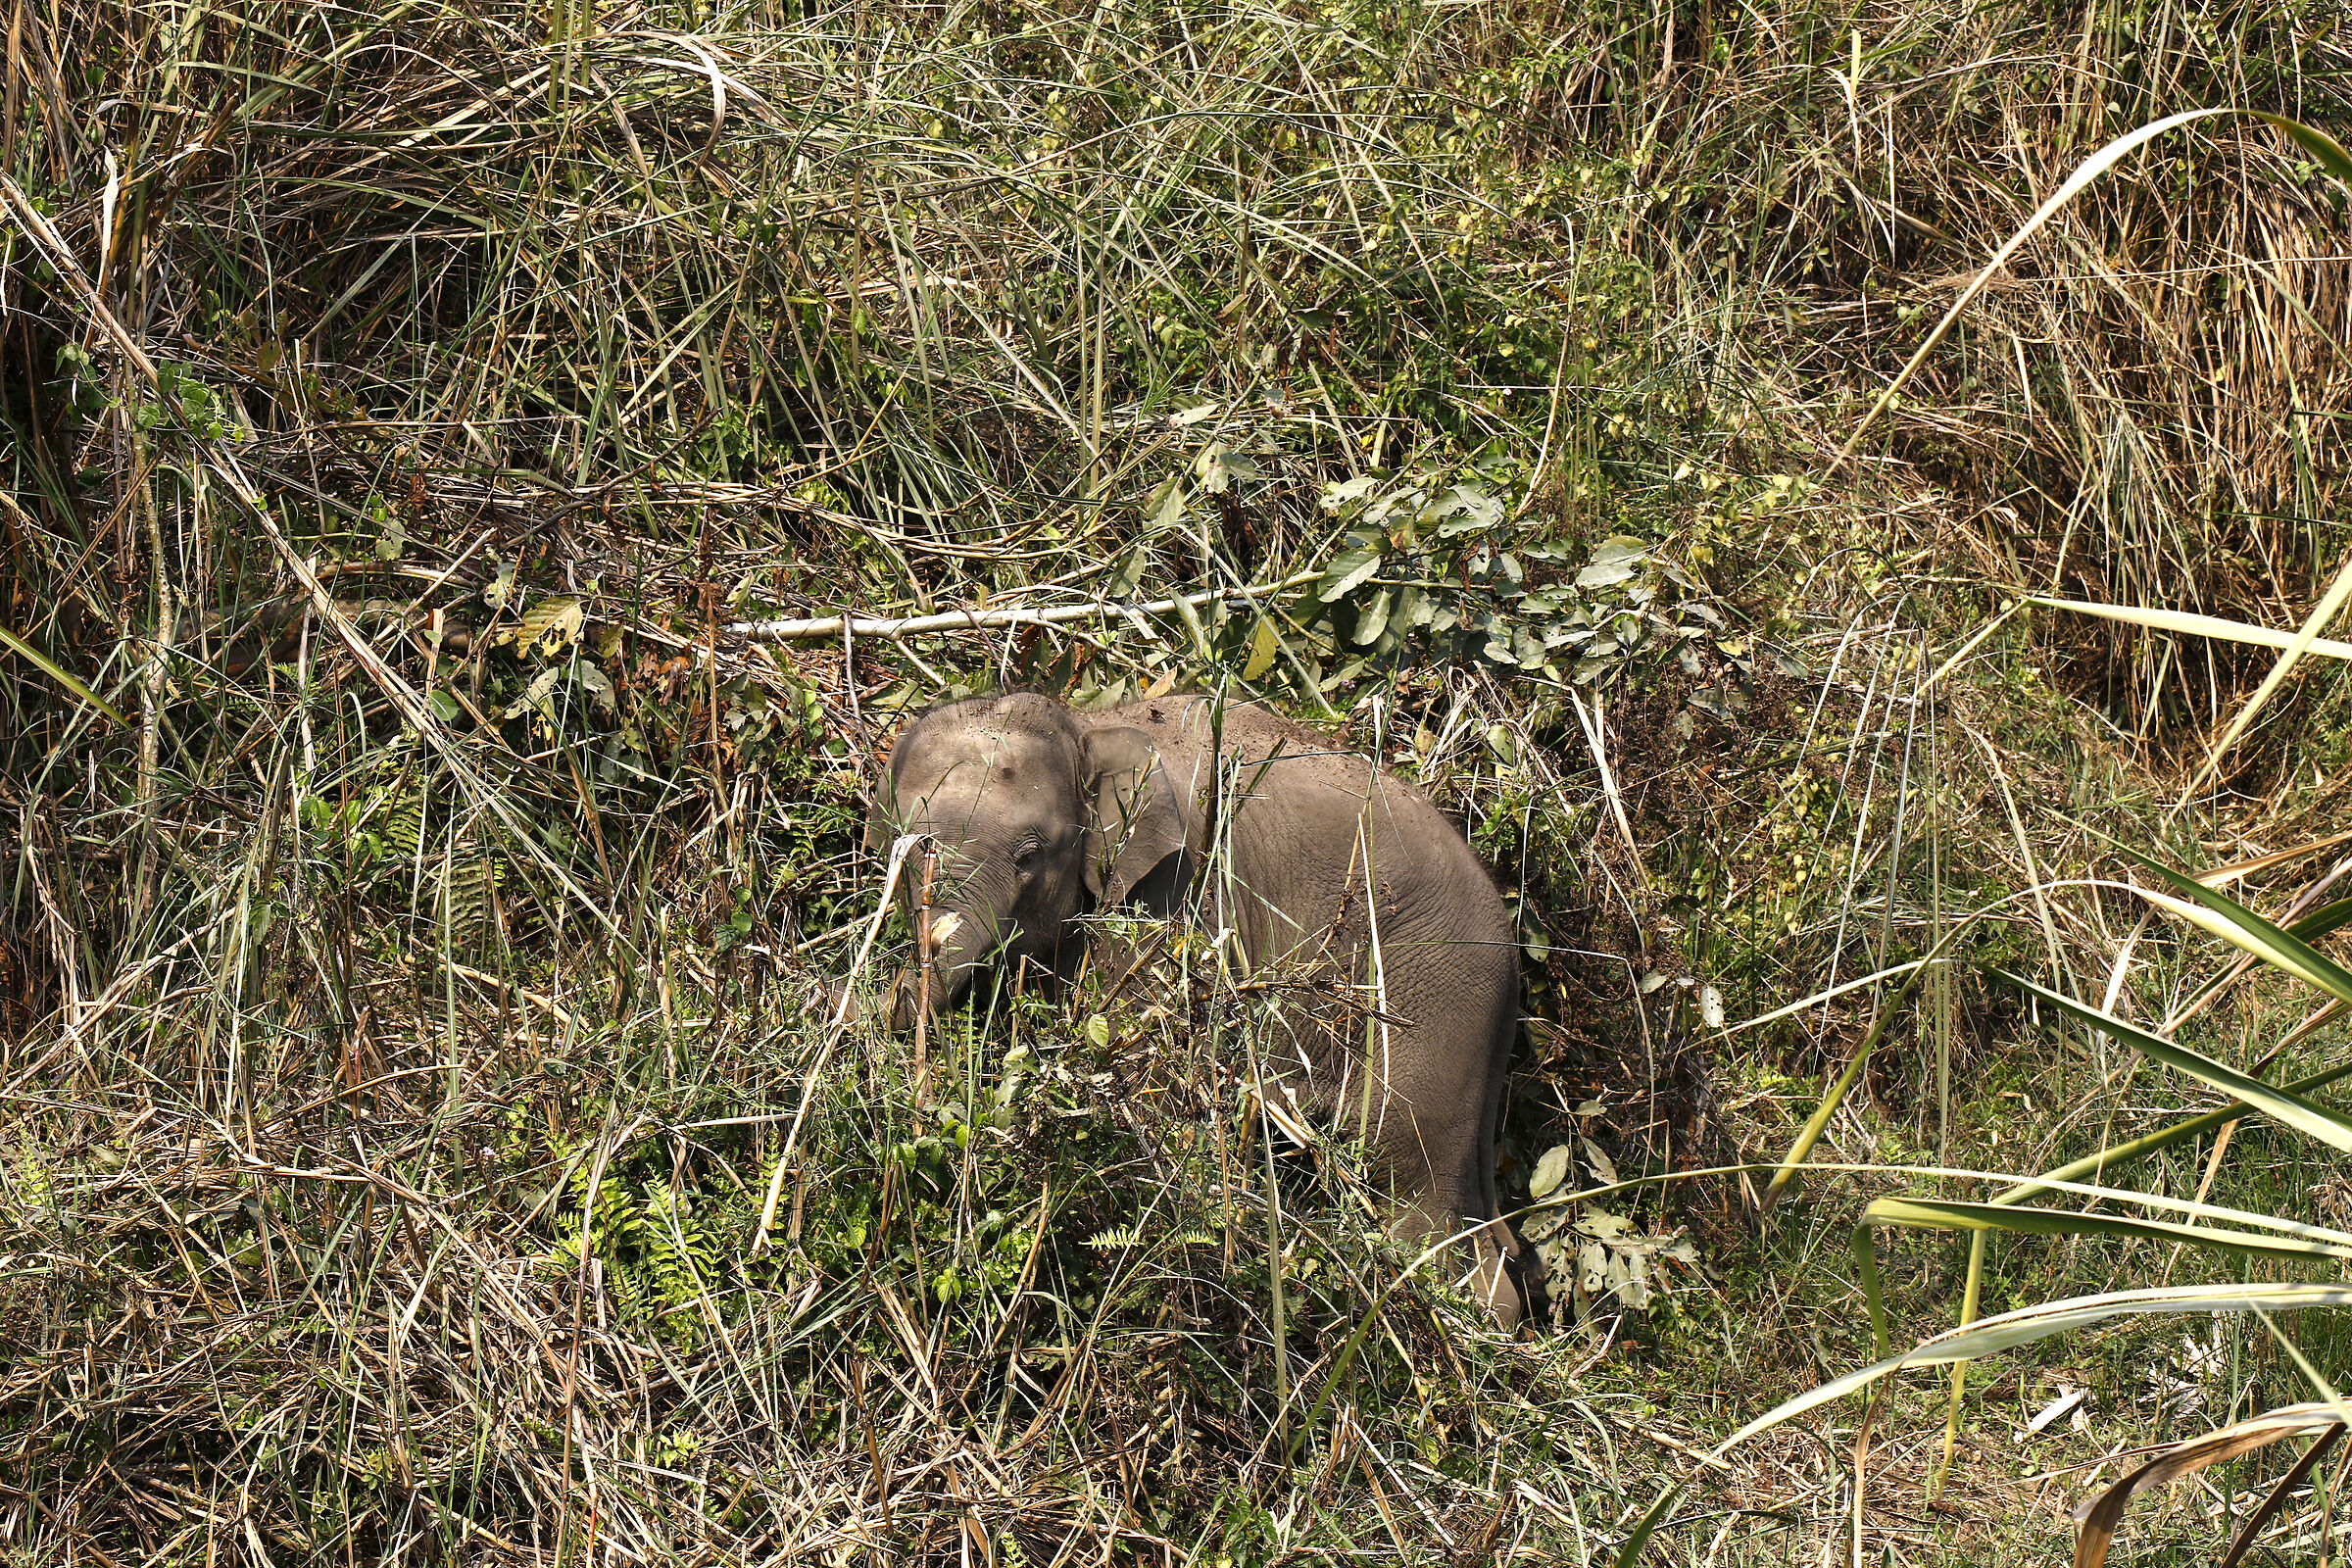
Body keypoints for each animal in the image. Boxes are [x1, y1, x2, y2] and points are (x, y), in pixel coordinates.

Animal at [864, 689, 1543, 1330]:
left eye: (1031, 853)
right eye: (901, 847)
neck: (1087, 726)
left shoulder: (1172, 894)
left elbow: (1144, 1074)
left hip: (1436, 990)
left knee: (1404, 1171)